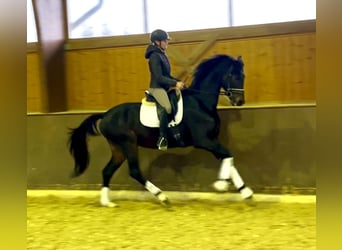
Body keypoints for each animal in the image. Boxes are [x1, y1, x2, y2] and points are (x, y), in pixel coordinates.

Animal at [68, 54, 252, 207]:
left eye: (243, 76)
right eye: (233, 75)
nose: (239, 101)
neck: (200, 102)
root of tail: (106, 114)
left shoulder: (212, 140)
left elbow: (228, 158)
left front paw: (245, 192)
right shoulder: (204, 141)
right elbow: (228, 155)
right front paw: (222, 184)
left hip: (118, 148)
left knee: (107, 171)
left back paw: (107, 203)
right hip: (128, 143)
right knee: (134, 171)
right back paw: (162, 197)